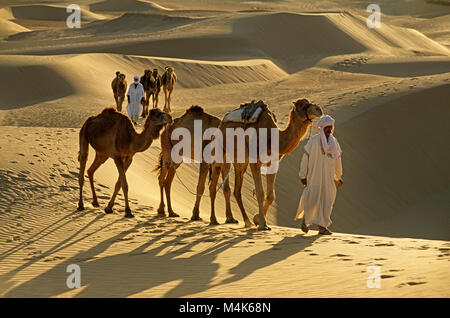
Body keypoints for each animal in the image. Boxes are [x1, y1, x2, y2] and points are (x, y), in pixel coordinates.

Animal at [209, 98, 322, 230]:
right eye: (304, 106)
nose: (318, 109)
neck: (272, 137)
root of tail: (221, 124)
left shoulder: (273, 162)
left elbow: (270, 196)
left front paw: (257, 219)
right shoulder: (255, 160)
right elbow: (260, 193)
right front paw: (262, 224)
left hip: (239, 160)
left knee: (235, 189)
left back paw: (243, 220)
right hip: (220, 151)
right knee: (213, 185)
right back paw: (214, 219)